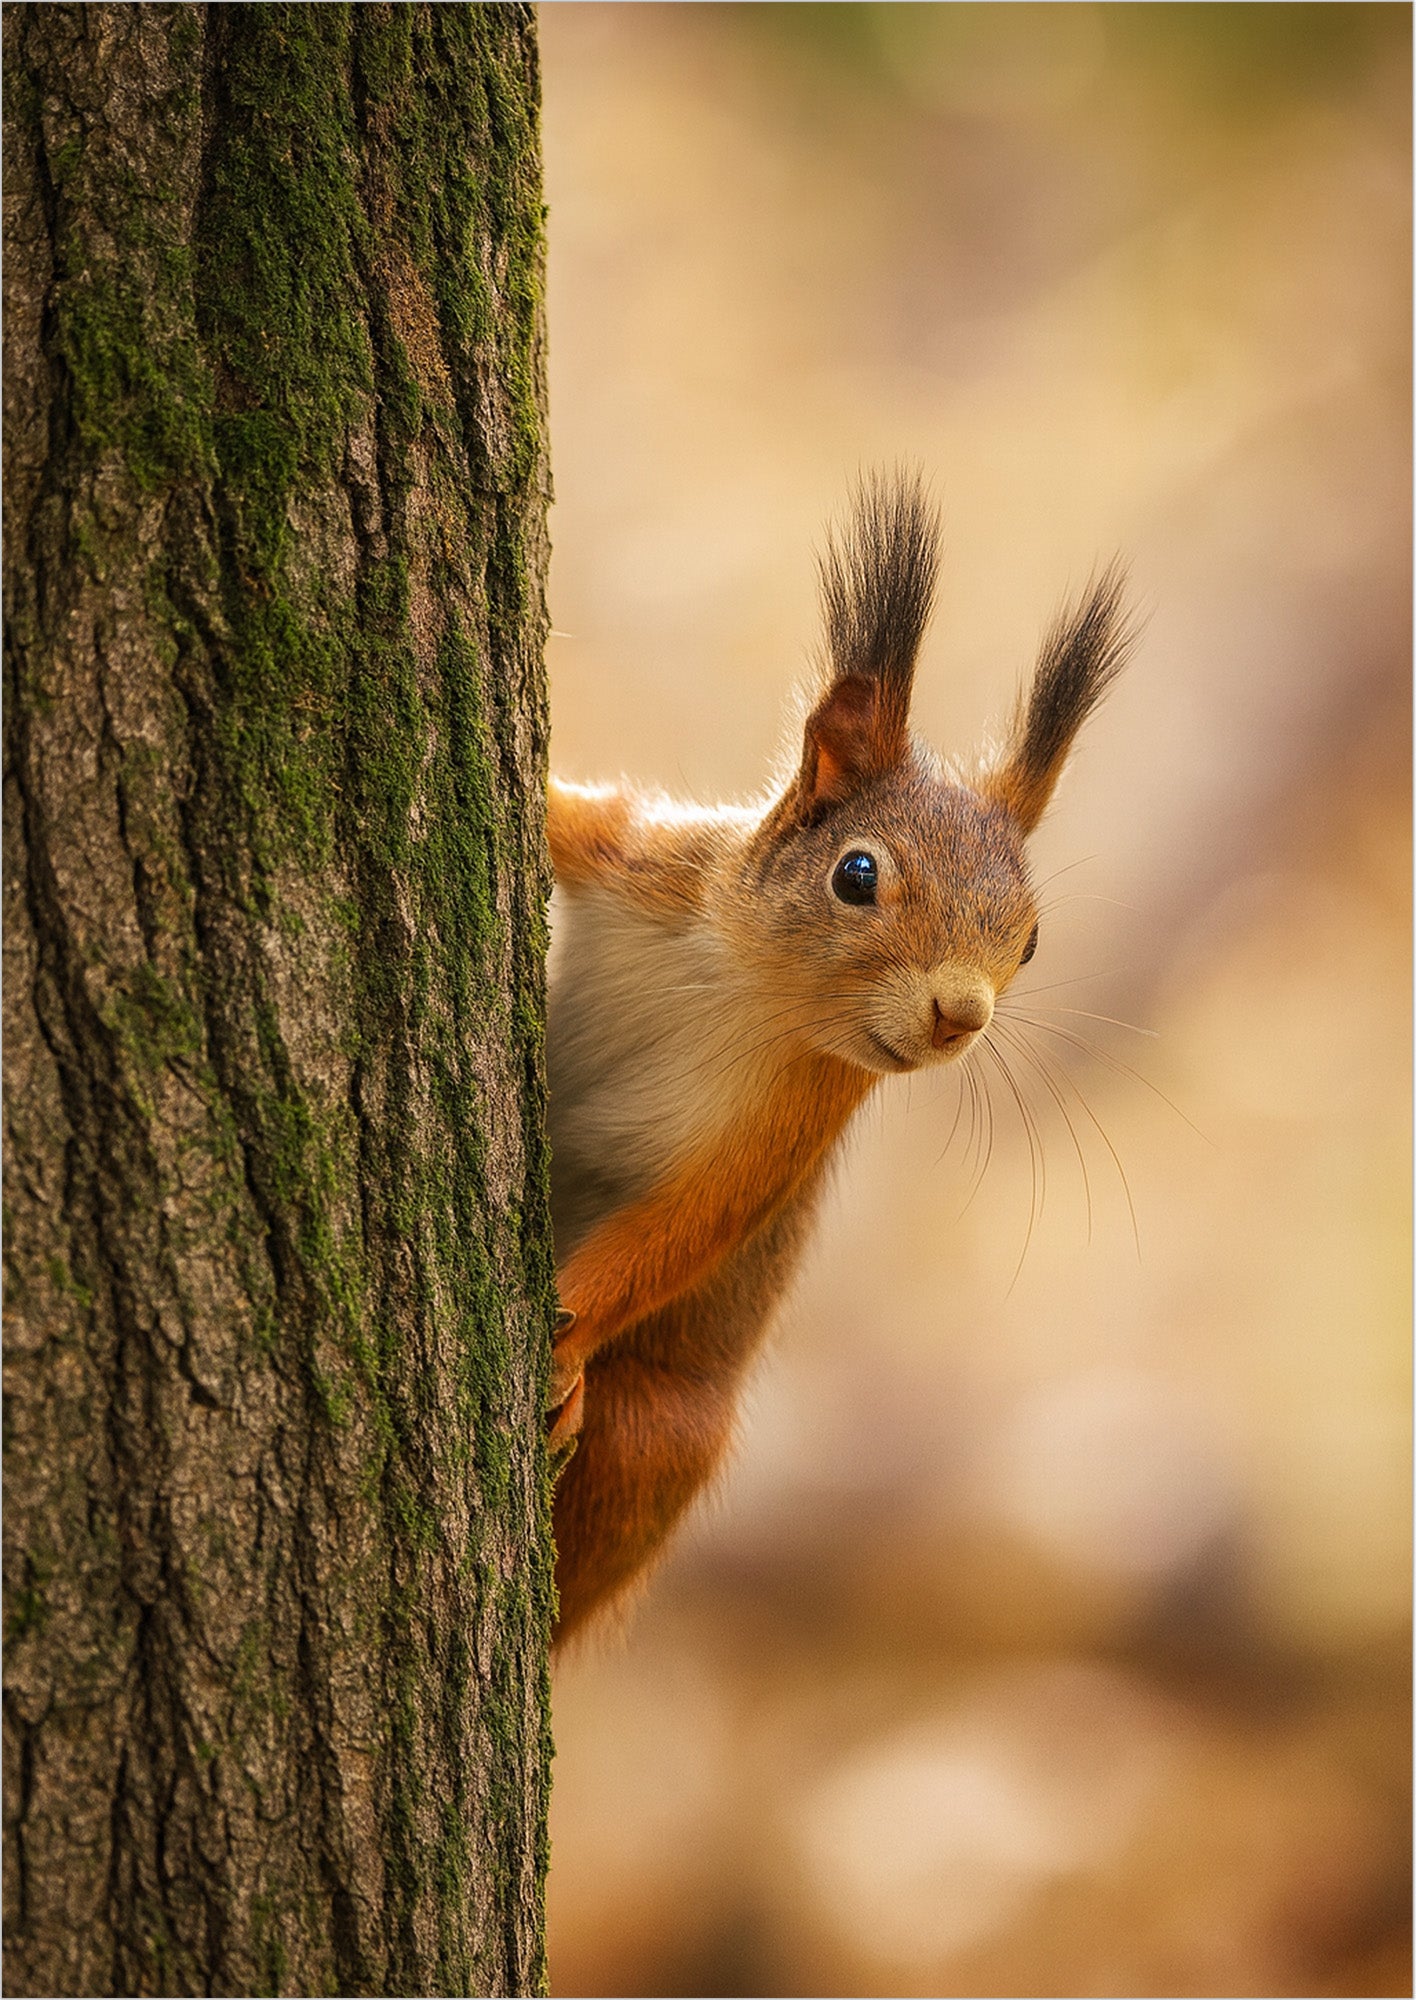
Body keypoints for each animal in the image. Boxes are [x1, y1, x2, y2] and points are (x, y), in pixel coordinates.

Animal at [544, 470, 1131, 1646]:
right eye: (856, 874)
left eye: (1031, 941)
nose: (961, 1015)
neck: (741, 985)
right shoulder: (638, 855)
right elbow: (562, 814)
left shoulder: (794, 1120)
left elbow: (685, 1229)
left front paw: (565, 1344)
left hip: (661, 1437)